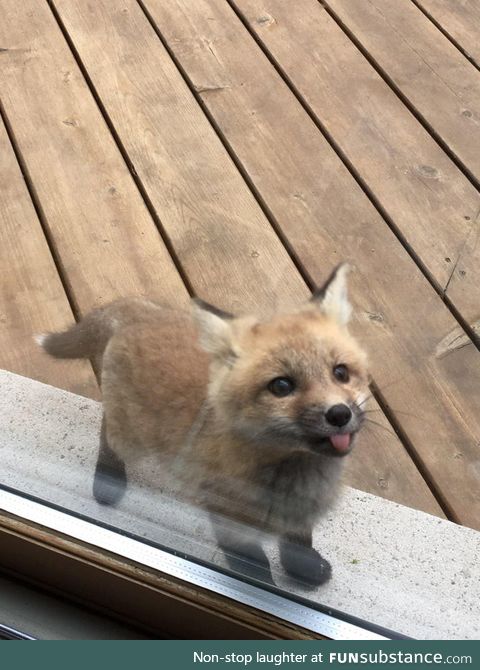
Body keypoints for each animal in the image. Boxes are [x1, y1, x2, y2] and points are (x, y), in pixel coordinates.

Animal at [38, 264, 368, 588]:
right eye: (282, 386)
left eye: (341, 372)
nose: (339, 414)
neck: (293, 476)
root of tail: (139, 312)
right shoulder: (229, 521)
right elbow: (255, 570)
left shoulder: (300, 516)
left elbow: (298, 543)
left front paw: (304, 569)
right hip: (131, 438)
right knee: (108, 433)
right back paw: (108, 478)